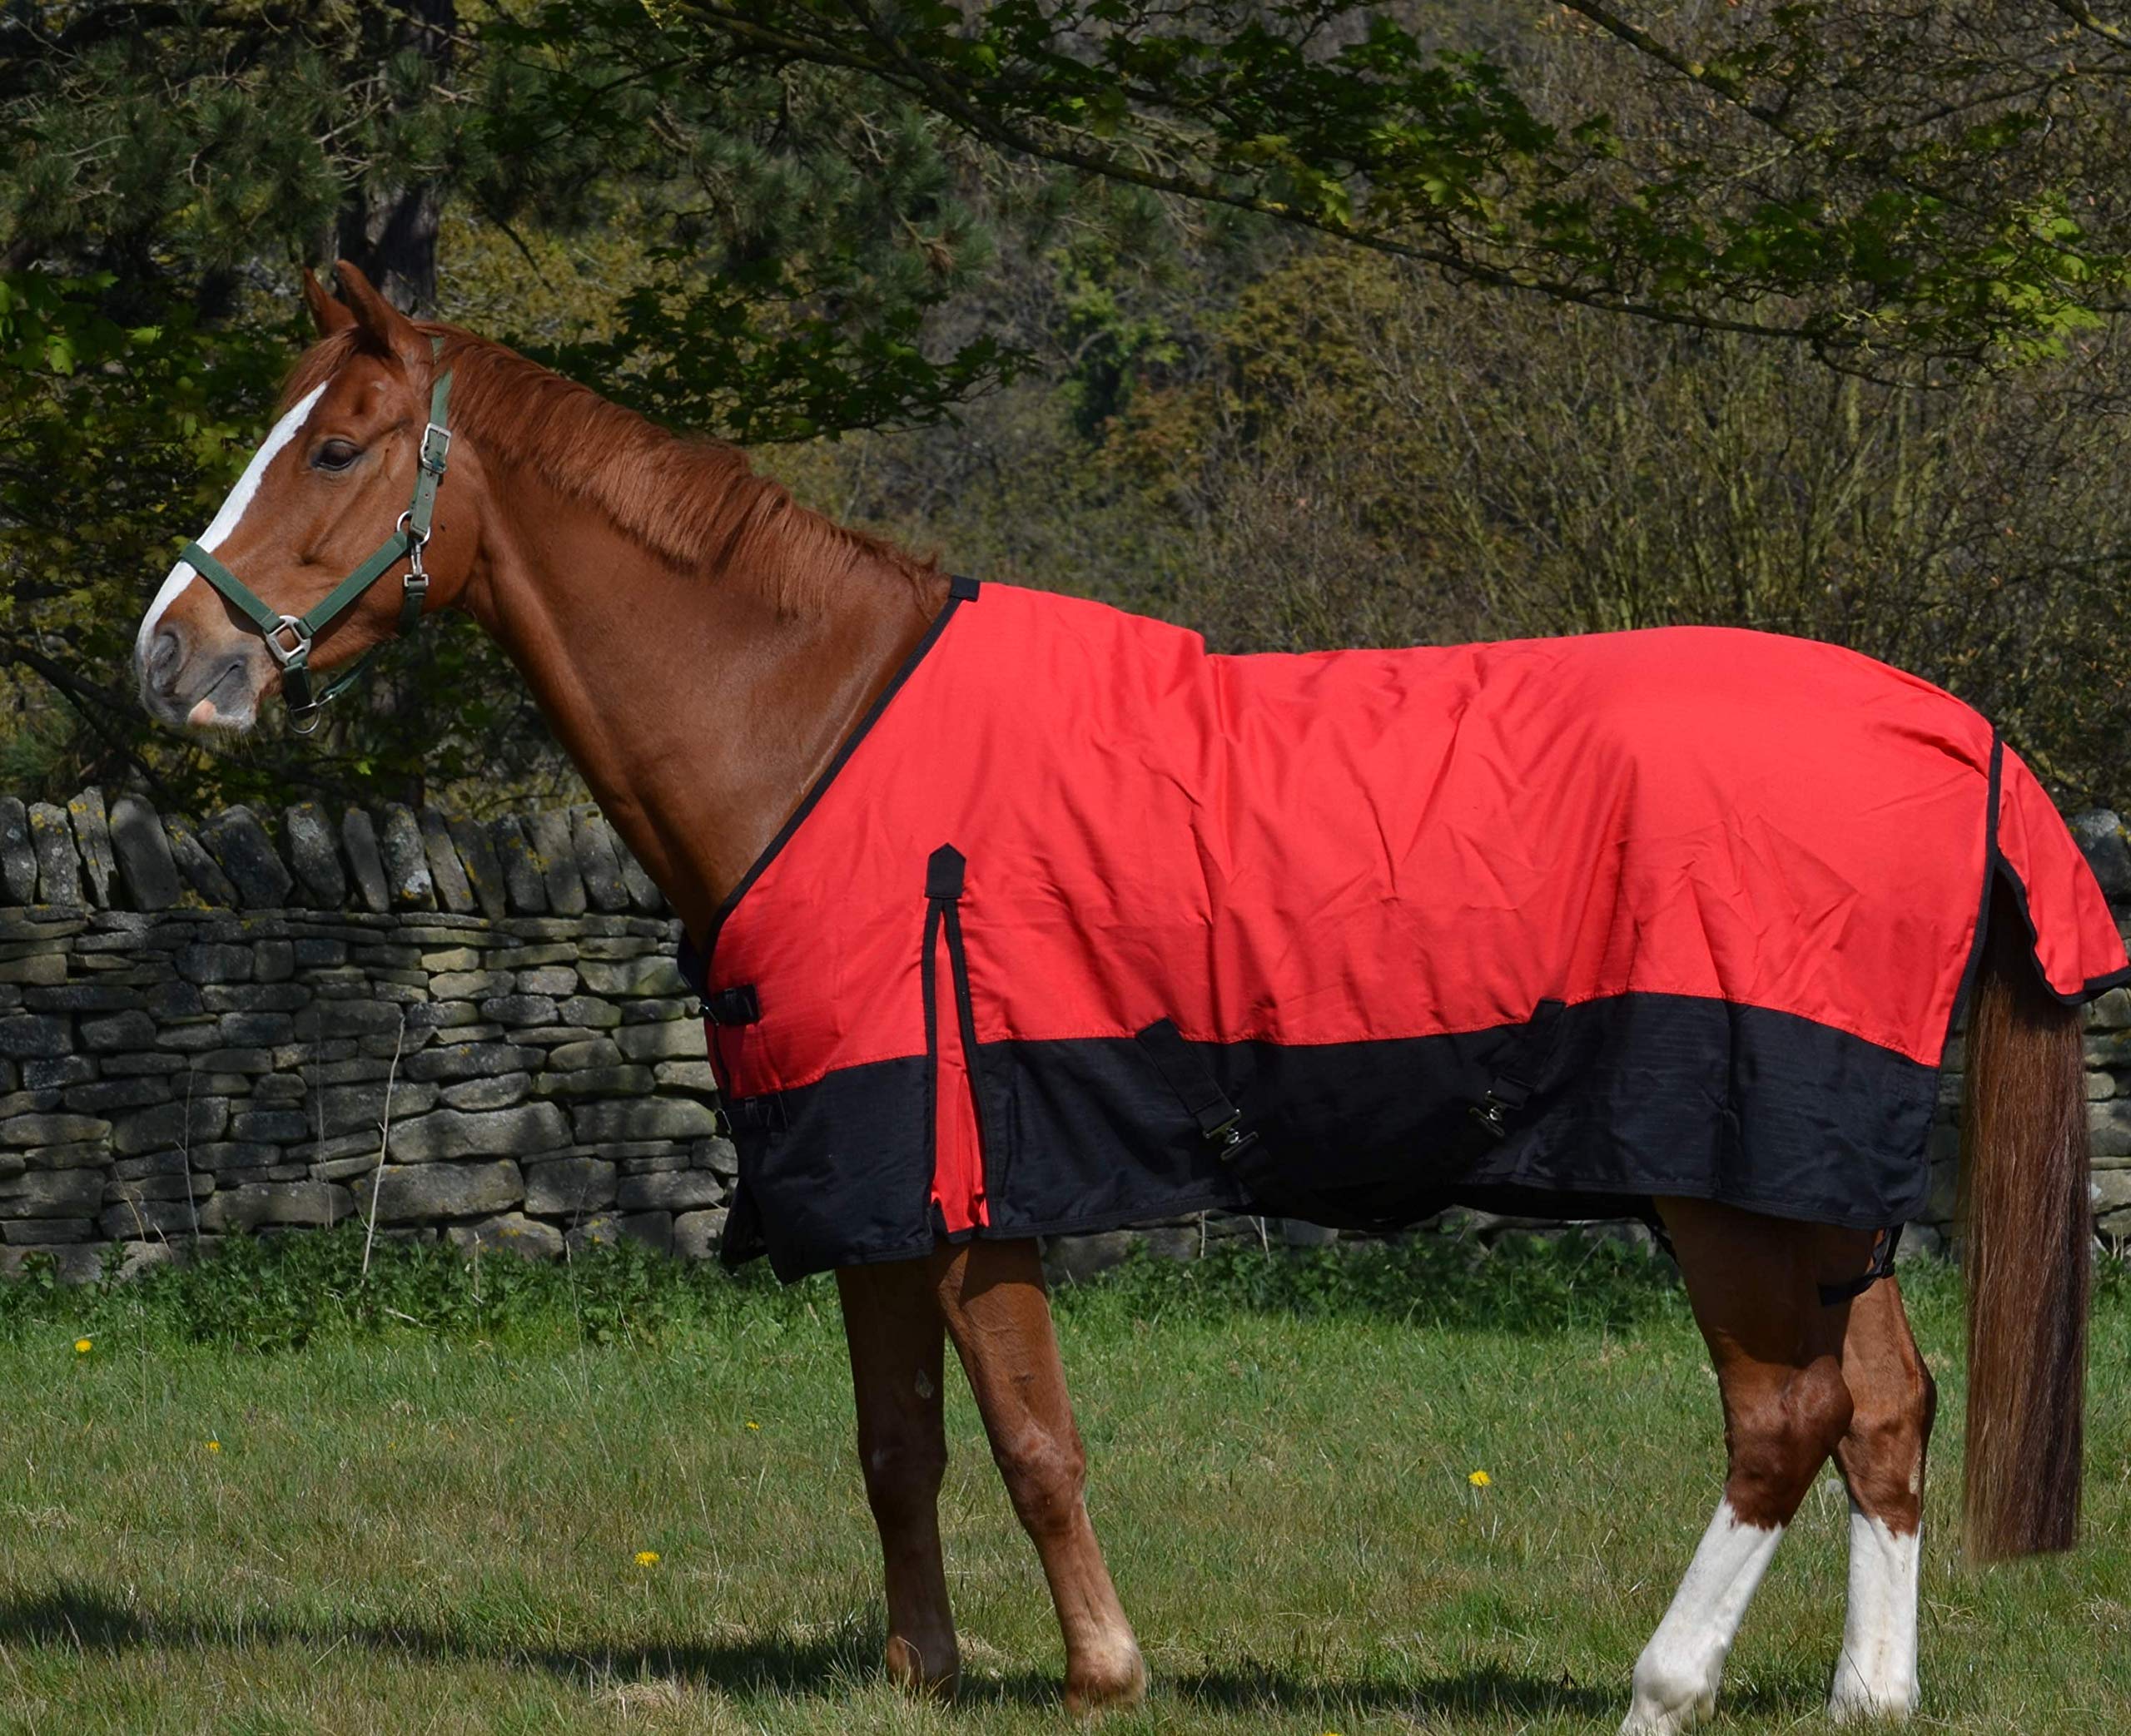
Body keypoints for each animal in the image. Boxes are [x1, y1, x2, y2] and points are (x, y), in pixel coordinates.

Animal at [130, 261, 2107, 1732]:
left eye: (337, 448)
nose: (173, 657)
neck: (818, 729)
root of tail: (1944, 731)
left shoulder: (973, 1166)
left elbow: (1030, 1438)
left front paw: (1102, 1671)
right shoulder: (868, 1173)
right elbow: (898, 1444)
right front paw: (924, 1675)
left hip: (1724, 1176)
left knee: (1783, 1418)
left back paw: (1662, 1681)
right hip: (1805, 1176)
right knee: (1884, 1402)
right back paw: (1867, 1693)